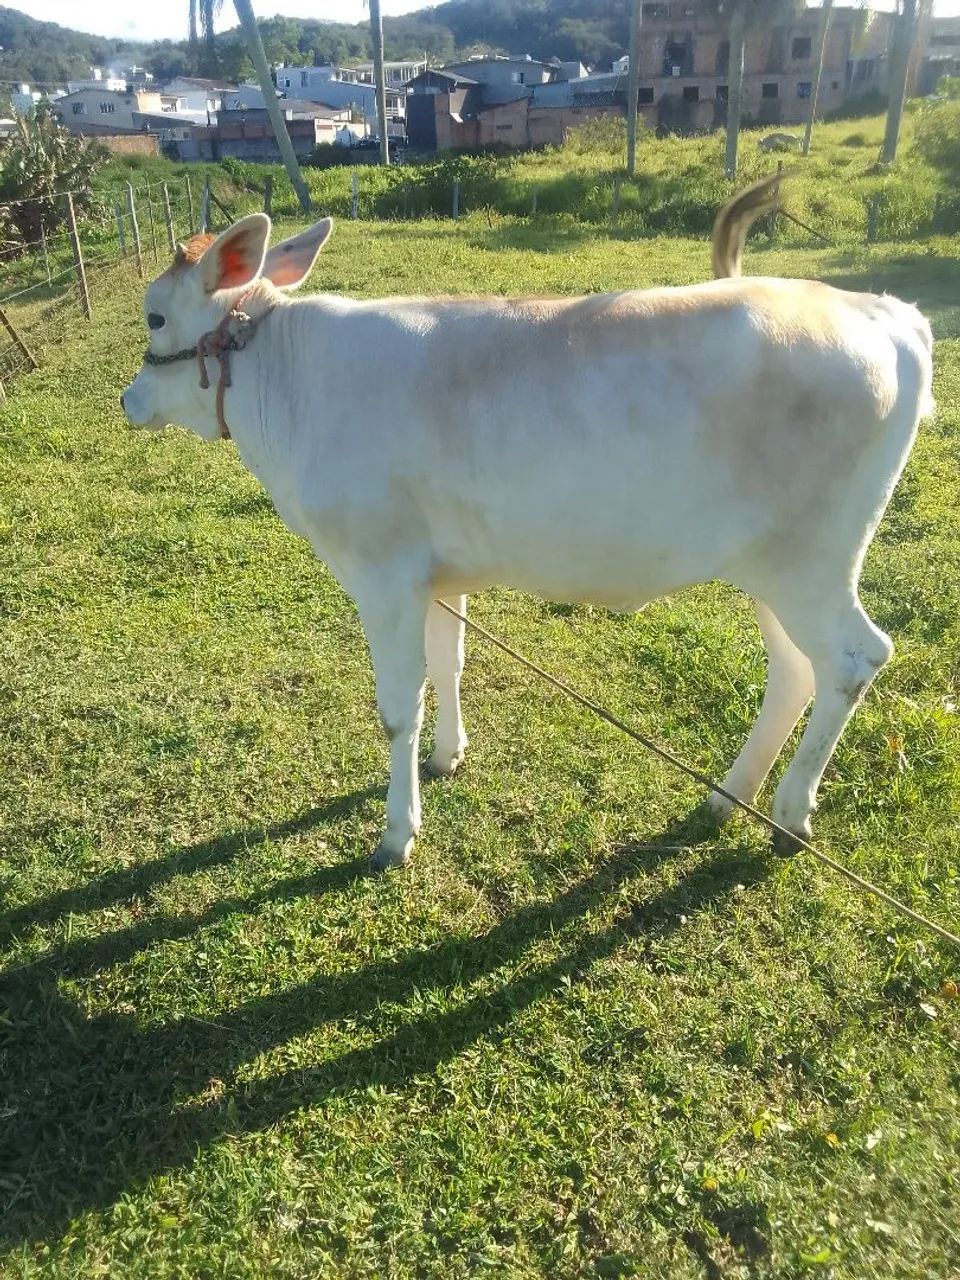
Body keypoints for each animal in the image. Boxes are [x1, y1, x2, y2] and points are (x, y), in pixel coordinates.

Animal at [121, 175, 934, 870]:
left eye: (154, 315)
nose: (127, 400)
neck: (291, 382)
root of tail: (882, 311)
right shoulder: (434, 572)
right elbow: (447, 665)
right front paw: (447, 756)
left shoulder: (381, 571)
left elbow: (396, 707)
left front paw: (396, 833)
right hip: (773, 566)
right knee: (795, 671)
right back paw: (728, 798)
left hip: (813, 559)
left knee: (855, 659)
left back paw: (791, 814)